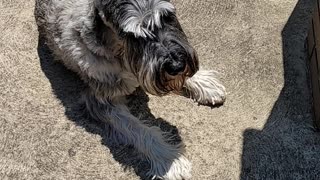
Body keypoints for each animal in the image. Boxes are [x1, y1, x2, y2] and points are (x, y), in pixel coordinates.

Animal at [34, 0, 225, 179]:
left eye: (167, 17)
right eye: (132, 35)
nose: (177, 66)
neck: (120, 51)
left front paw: (205, 83)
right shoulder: (102, 101)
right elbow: (139, 129)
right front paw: (170, 161)